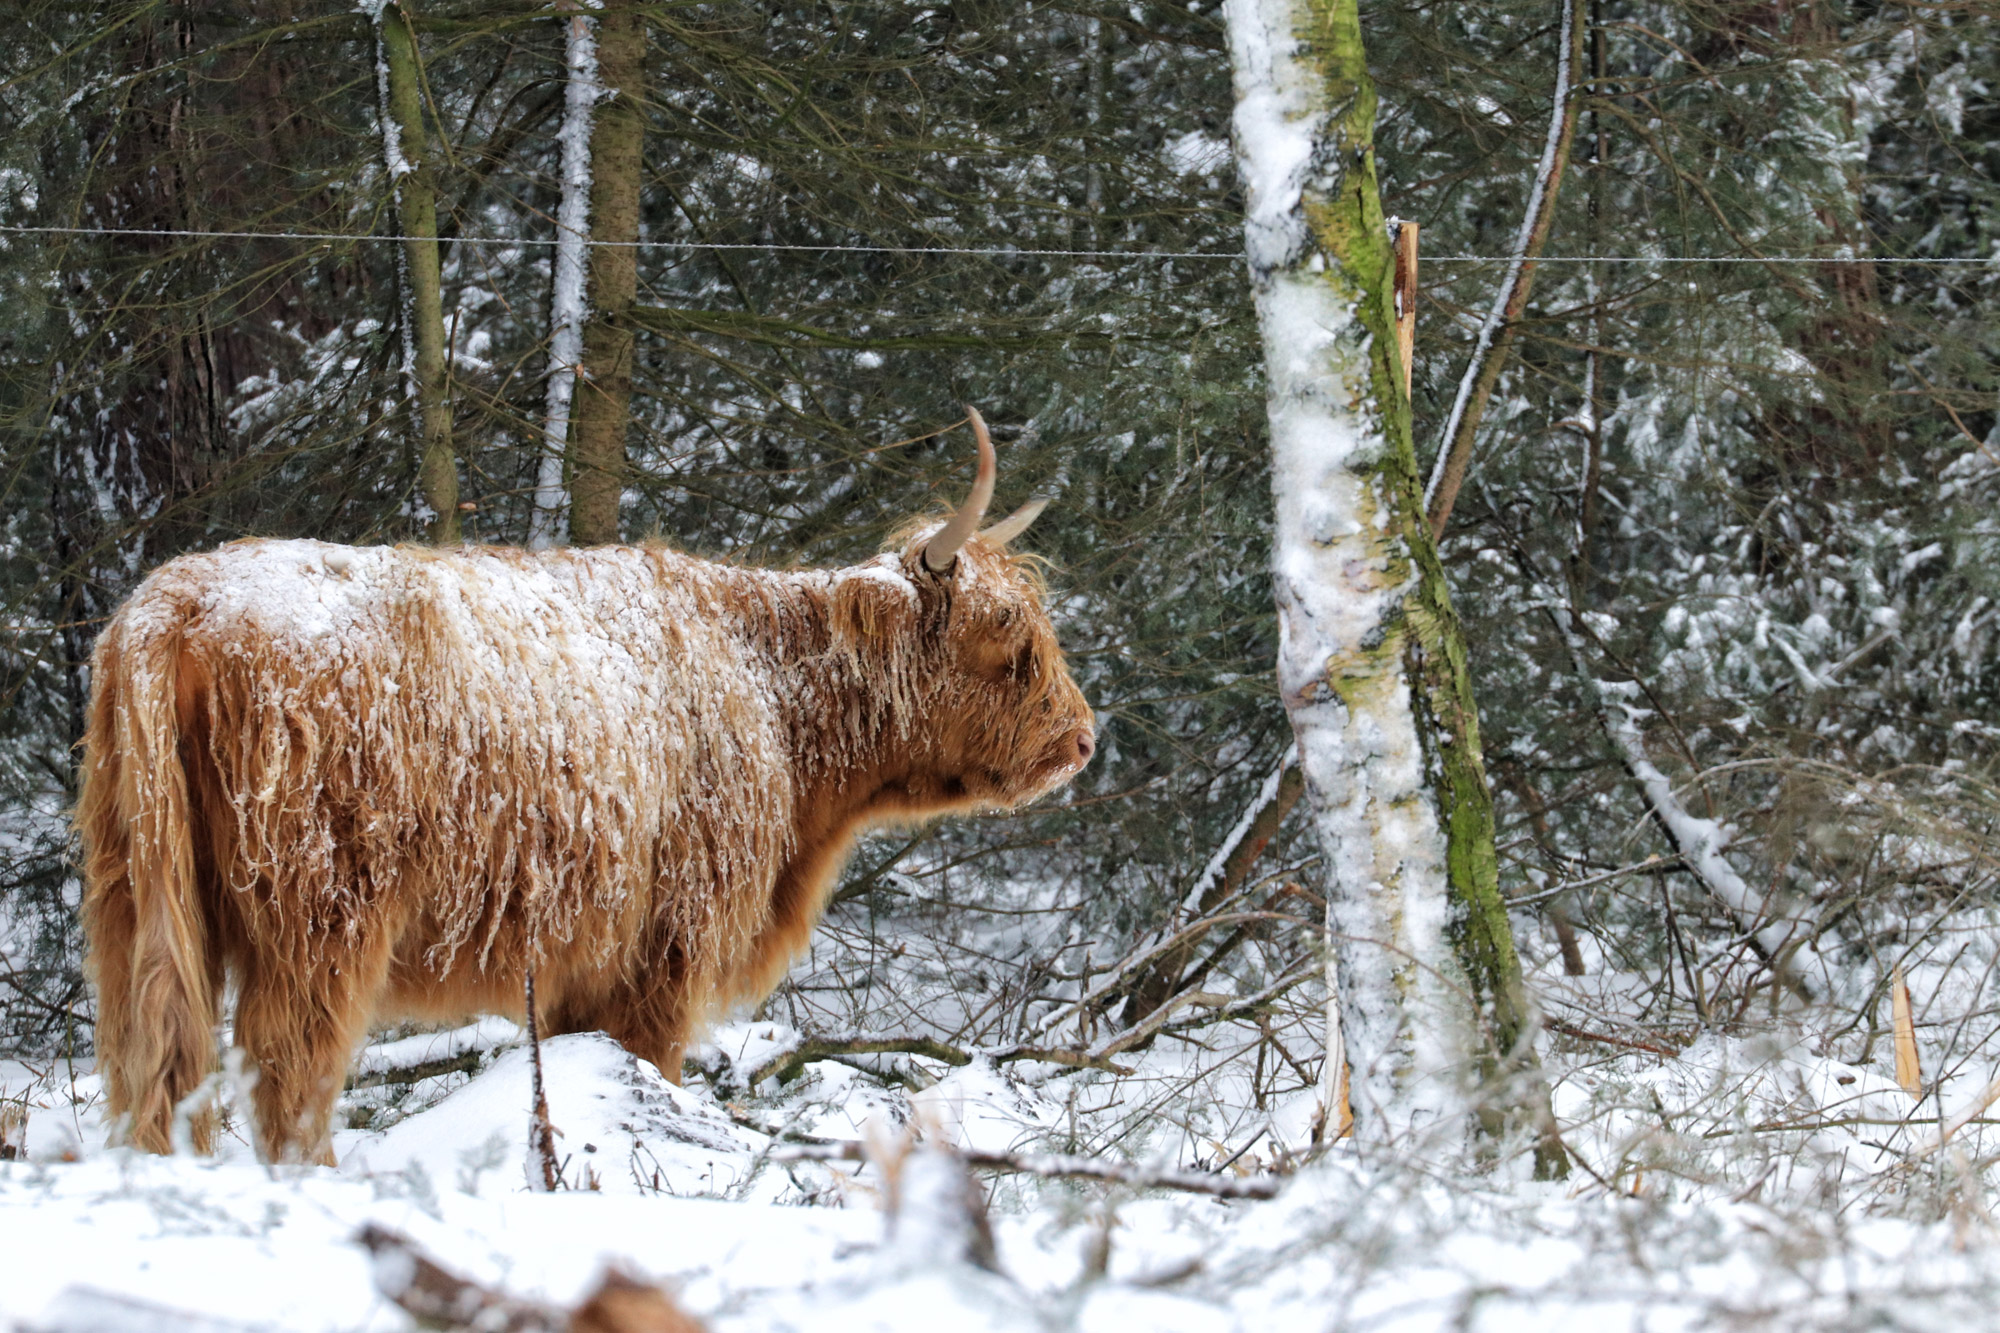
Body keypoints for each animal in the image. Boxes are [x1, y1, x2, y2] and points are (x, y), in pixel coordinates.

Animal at [74, 410, 1096, 1160]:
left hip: (136, 895)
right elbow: (651, 1067)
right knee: (288, 1069)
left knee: (149, 1057)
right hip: (322, 915)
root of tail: (175, 598)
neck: (771, 686)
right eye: (1005, 638)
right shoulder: (667, 945)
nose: (1082, 737)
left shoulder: (579, 964)